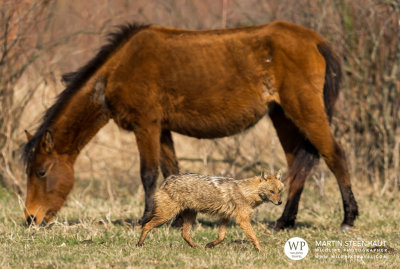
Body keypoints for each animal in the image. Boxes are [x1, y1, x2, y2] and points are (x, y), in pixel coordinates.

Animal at [23, 21, 358, 229]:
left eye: (41, 172)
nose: (30, 219)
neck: (119, 68)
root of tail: (316, 41)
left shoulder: (146, 124)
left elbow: (148, 174)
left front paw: (145, 219)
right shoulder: (162, 129)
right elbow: (172, 172)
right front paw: (179, 220)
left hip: (304, 110)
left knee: (335, 156)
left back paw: (348, 218)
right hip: (283, 116)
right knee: (297, 164)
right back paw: (284, 221)